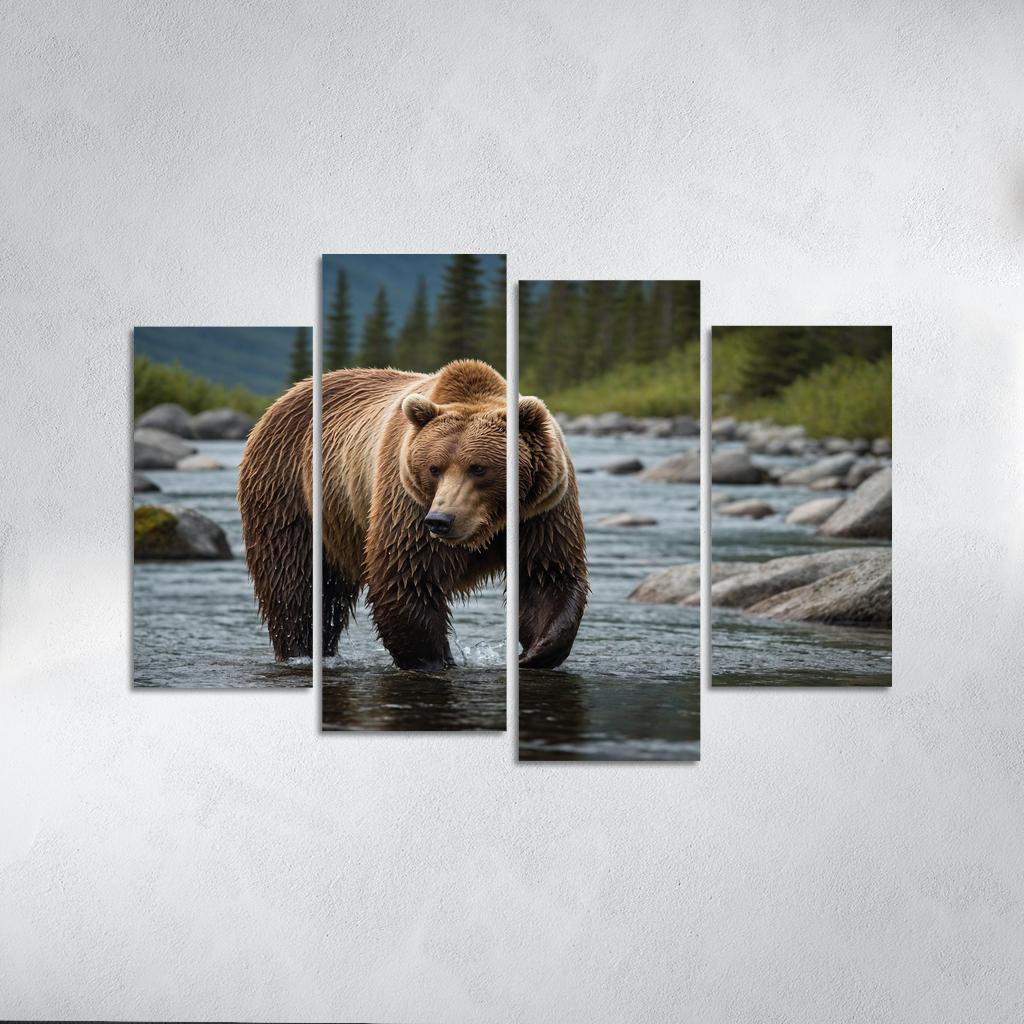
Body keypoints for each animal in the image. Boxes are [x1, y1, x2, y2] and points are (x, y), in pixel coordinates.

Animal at [237, 358, 587, 671]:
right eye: (434, 468)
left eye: (478, 468)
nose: (441, 520)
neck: (489, 524)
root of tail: (287, 396)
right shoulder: (407, 501)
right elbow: (407, 576)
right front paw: (437, 659)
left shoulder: (542, 511)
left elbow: (545, 576)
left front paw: (533, 654)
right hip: (290, 491)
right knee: (295, 582)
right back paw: (301, 651)